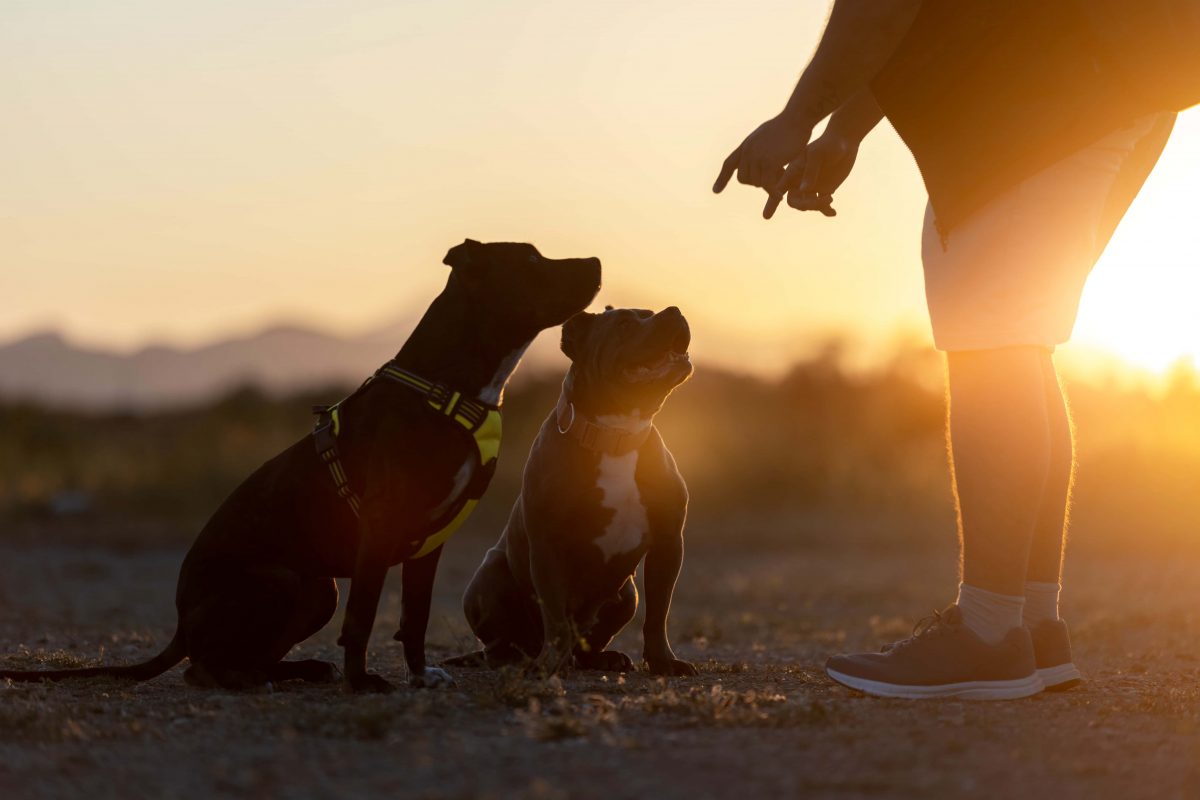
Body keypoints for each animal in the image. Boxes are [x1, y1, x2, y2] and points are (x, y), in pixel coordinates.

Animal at [0, 239, 600, 695]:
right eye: (531, 259)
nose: (596, 261)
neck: (447, 389)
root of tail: (180, 624)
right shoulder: (378, 532)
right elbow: (364, 618)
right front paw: (362, 684)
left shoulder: (427, 547)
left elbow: (415, 617)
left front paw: (418, 674)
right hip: (290, 582)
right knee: (204, 667)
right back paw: (258, 678)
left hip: (314, 589)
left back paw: (300, 670)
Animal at [451, 304, 696, 676]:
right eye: (624, 325)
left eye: (650, 312)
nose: (674, 310)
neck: (617, 435)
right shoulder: (548, 546)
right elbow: (555, 616)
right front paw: (550, 663)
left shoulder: (668, 544)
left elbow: (658, 613)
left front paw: (663, 662)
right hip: (487, 577)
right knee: (503, 643)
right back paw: (520, 659)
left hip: (627, 594)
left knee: (587, 641)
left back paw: (602, 658)